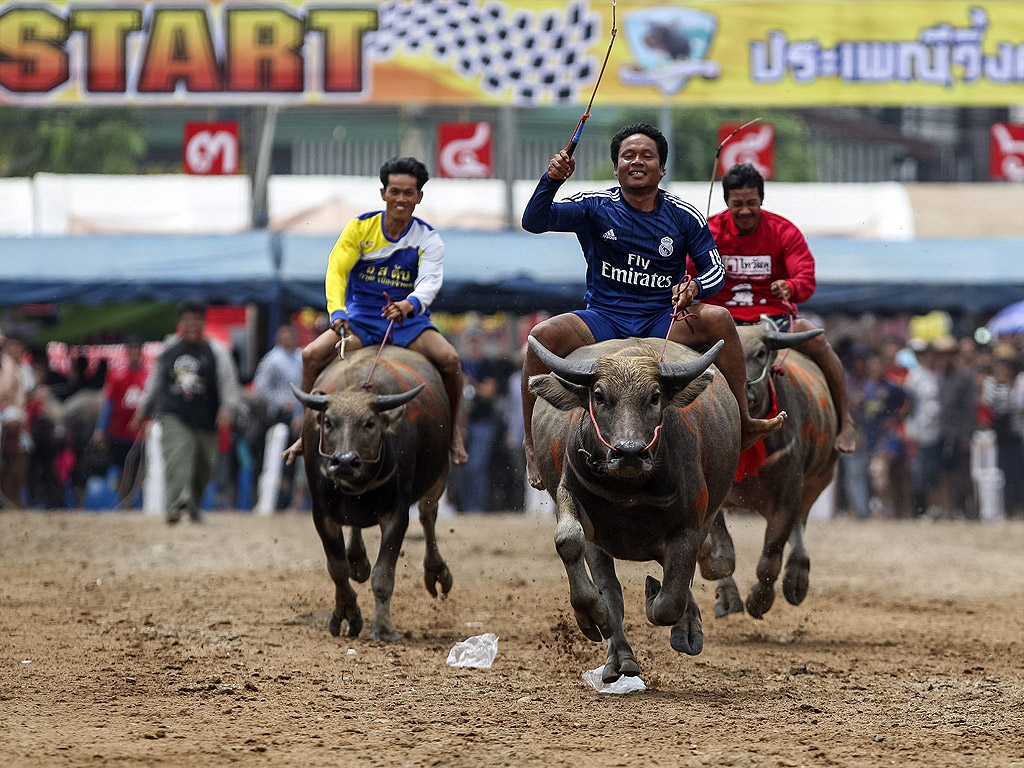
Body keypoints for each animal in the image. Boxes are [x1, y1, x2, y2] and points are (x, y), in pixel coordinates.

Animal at [292, 348, 452, 643]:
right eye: (329, 422)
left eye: (369, 423)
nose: (344, 461)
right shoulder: (322, 515)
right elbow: (338, 568)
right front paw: (346, 614)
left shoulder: (397, 515)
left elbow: (383, 574)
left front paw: (383, 627)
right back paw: (357, 560)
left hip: (439, 477)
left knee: (428, 516)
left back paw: (436, 572)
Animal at [528, 333, 745, 684]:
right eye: (599, 396)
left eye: (655, 396)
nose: (629, 452)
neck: (628, 491)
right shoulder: (572, 500)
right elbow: (568, 541)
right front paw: (592, 616)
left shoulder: (691, 523)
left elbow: (671, 598)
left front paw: (659, 601)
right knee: (612, 588)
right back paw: (620, 657)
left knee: (678, 578)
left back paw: (685, 628)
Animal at [708, 321, 835, 622]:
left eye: (760, 353)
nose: (744, 391)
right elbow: (723, 552)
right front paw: (726, 597)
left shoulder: (787, 497)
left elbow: (771, 556)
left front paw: (759, 600)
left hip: (819, 479)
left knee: (800, 525)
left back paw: (796, 579)